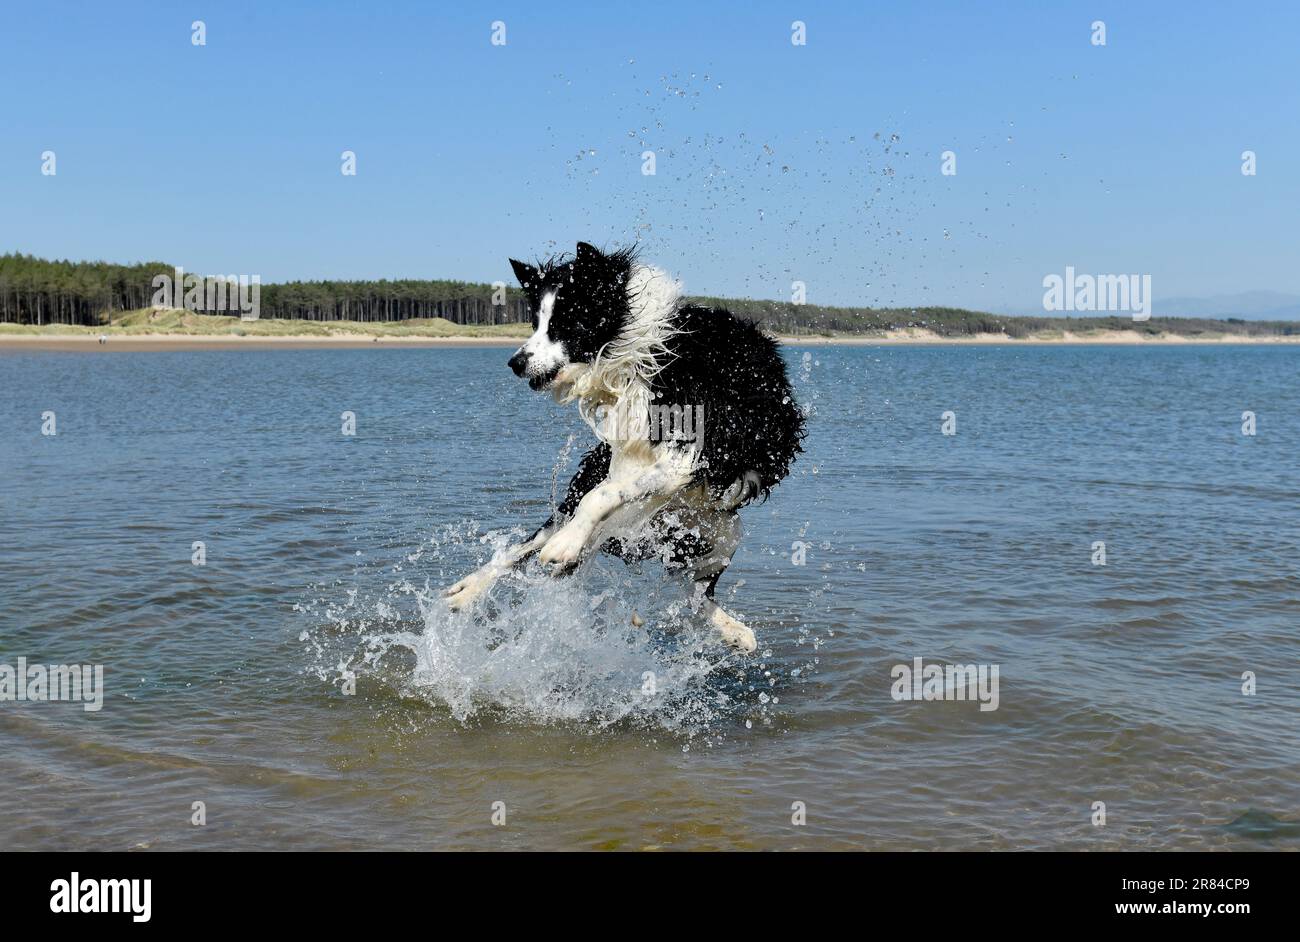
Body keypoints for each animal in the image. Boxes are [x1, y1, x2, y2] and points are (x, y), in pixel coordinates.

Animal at [447, 242, 800, 649]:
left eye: (564, 323)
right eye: (536, 322)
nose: (515, 362)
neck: (643, 351)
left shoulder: (687, 457)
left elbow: (602, 497)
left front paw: (566, 546)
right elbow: (595, 499)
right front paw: (565, 545)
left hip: (725, 531)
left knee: (695, 594)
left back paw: (735, 631)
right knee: (531, 542)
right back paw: (467, 590)